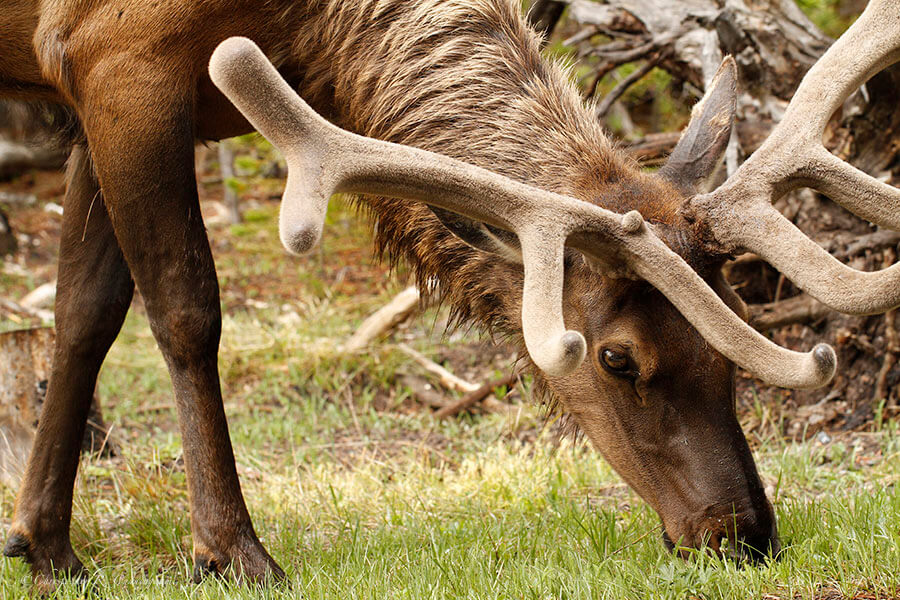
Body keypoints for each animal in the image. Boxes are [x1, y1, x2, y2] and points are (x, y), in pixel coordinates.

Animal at [1, 0, 900, 588]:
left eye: (738, 324)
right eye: (615, 358)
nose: (742, 535)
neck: (312, 29)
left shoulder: (95, 88)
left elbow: (83, 313)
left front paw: (44, 545)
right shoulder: (117, 55)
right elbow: (186, 311)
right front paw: (230, 552)